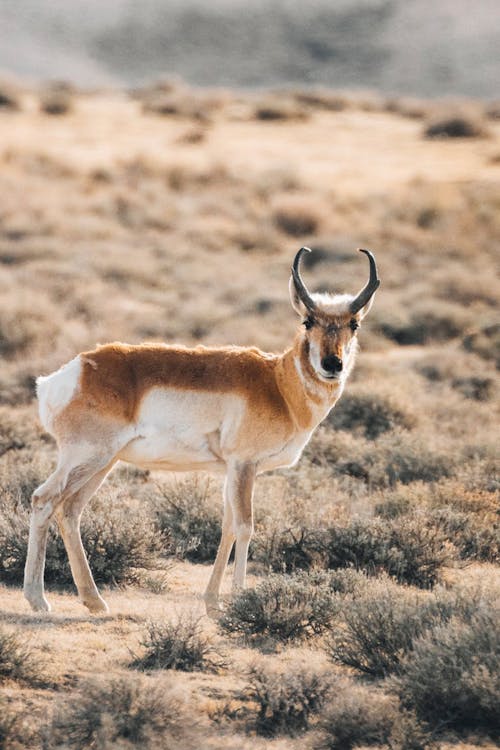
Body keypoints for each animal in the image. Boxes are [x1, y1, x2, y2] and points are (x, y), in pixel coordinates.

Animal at [23, 247, 378, 616]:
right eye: (308, 321)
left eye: (353, 324)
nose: (332, 365)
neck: (277, 383)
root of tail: (67, 375)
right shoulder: (244, 465)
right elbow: (245, 526)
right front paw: (240, 599)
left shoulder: (233, 472)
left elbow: (227, 527)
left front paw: (212, 603)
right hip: (88, 459)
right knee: (44, 499)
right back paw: (39, 600)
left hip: (102, 464)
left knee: (70, 511)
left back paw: (94, 601)